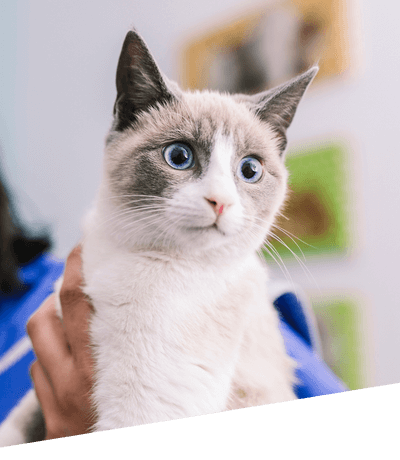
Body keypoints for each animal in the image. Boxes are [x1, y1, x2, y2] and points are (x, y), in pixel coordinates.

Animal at [0, 29, 318, 446]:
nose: (220, 202)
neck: (129, 252)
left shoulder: (147, 404)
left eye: (250, 170)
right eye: (179, 156)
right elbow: (19, 418)